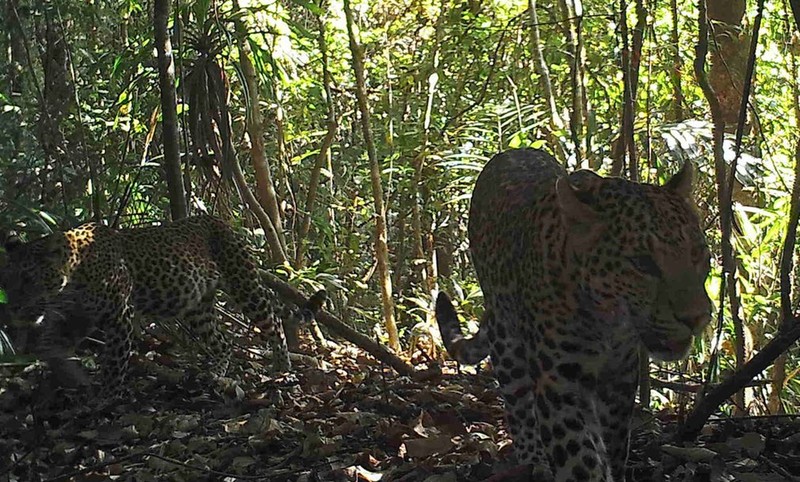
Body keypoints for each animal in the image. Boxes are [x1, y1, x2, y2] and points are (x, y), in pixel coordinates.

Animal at [0, 216, 326, 396]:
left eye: (28, 279)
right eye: (6, 281)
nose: (12, 311)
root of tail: (219, 220)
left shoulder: (119, 315)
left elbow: (114, 363)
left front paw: (107, 396)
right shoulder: (75, 318)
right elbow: (49, 349)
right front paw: (73, 378)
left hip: (243, 283)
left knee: (273, 321)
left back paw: (282, 367)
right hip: (197, 306)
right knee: (222, 341)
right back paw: (216, 373)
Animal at [434, 149, 708, 480]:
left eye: (698, 254)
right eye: (642, 263)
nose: (697, 317)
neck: (608, 321)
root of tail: (512, 151)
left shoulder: (621, 376)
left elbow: (615, 442)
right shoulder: (560, 384)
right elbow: (581, 459)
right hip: (506, 341)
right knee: (518, 404)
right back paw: (532, 460)